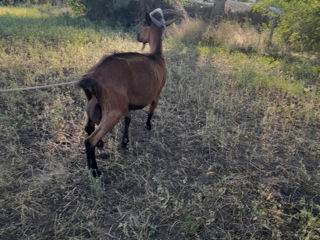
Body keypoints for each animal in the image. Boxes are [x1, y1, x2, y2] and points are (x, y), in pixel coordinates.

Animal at [79, 8, 174, 176]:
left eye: (143, 26)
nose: (137, 35)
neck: (156, 57)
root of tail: (93, 75)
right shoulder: (156, 94)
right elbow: (151, 111)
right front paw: (148, 126)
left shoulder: (127, 103)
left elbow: (128, 119)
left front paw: (125, 142)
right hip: (113, 110)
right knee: (90, 140)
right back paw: (95, 172)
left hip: (94, 101)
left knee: (89, 128)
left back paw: (97, 152)